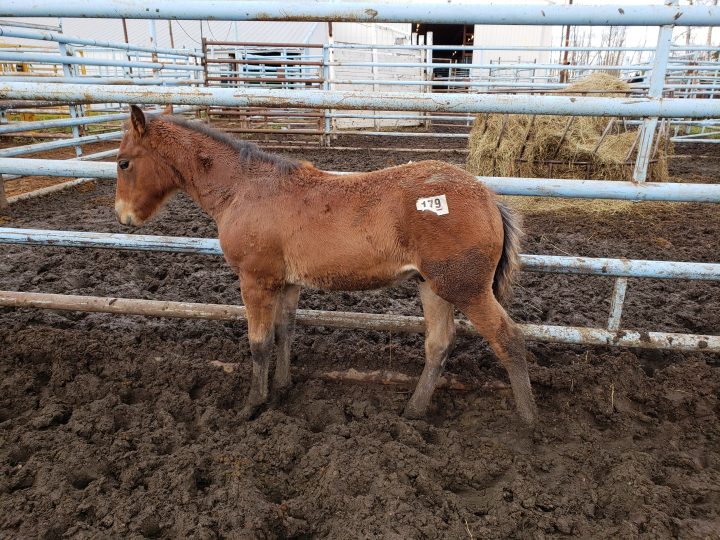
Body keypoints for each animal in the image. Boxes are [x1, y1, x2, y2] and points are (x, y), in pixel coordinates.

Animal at [114, 105, 538, 424]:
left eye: (123, 163)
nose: (123, 216)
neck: (244, 189)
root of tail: (488, 198)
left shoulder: (255, 281)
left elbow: (259, 343)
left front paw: (252, 405)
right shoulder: (287, 282)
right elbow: (284, 330)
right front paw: (282, 388)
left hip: (465, 288)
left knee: (508, 339)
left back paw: (528, 422)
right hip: (431, 286)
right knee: (439, 343)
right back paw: (413, 411)